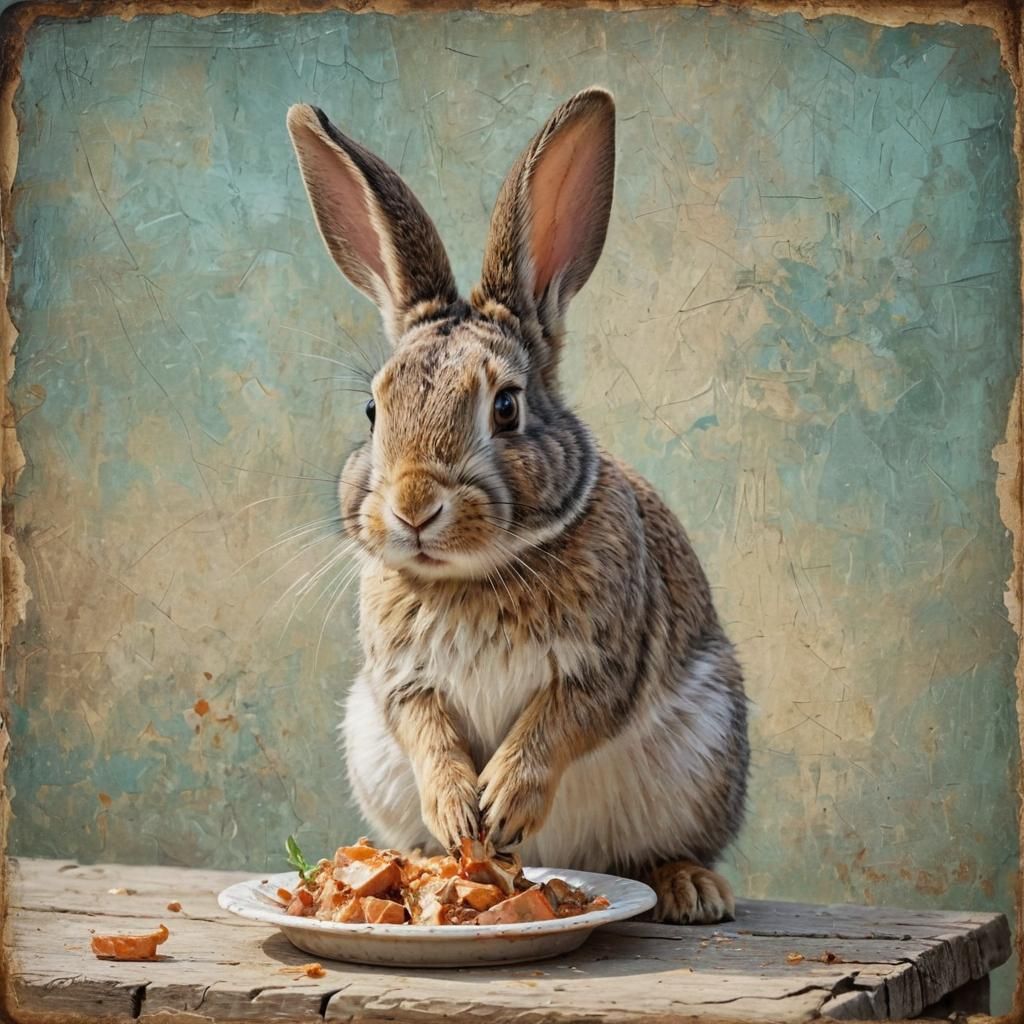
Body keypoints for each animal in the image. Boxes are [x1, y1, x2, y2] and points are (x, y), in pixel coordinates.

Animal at [287, 87, 749, 925]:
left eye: (506, 408)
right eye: (373, 412)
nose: (413, 507)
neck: (472, 574)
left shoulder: (604, 667)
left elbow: (557, 722)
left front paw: (501, 804)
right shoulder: (401, 682)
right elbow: (427, 731)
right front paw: (460, 810)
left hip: (705, 753)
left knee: (661, 850)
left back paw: (688, 890)